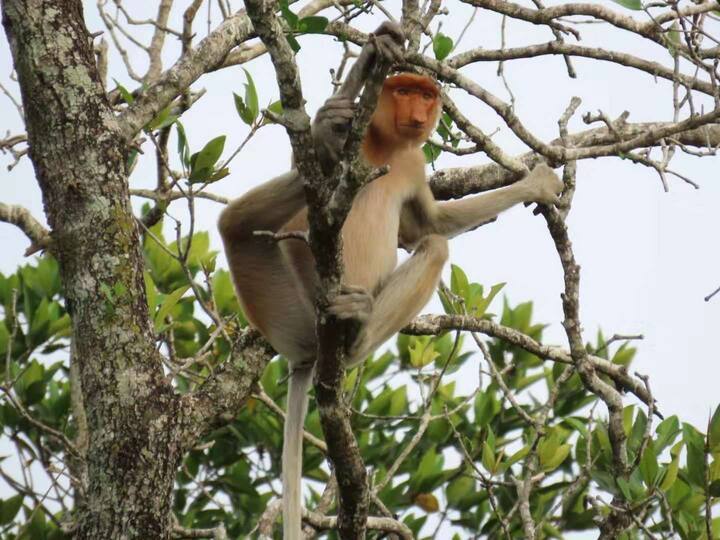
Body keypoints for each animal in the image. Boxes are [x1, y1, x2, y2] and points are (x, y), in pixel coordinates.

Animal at [217, 19, 564, 536]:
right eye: (402, 91)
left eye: (425, 94)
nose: (418, 112)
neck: (383, 145)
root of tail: (302, 356)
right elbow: (304, 220)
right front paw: (350, 93)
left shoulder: (413, 165)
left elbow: (427, 227)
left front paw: (537, 184)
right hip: (282, 306)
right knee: (238, 224)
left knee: (434, 245)